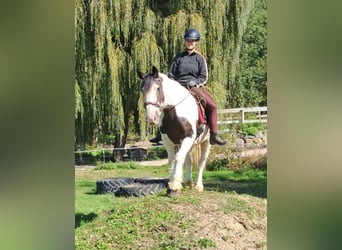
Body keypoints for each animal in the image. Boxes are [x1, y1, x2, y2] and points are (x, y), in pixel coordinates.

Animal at [137, 65, 211, 194]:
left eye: (157, 88)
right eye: (142, 89)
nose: (151, 118)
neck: (175, 112)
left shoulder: (188, 138)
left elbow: (179, 157)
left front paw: (175, 184)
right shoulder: (168, 140)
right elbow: (172, 159)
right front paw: (171, 182)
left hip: (206, 142)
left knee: (201, 162)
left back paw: (198, 186)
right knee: (189, 159)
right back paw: (188, 182)